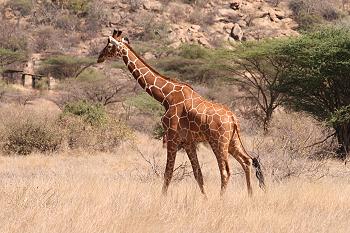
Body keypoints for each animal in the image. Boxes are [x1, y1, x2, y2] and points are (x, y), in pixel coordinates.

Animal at [97, 29, 264, 197]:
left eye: (109, 45)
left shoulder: (172, 137)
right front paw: (205, 198)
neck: (166, 96)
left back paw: (221, 198)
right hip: (232, 140)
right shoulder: (188, 142)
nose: (99, 57)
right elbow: (198, 174)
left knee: (225, 171)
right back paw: (250, 196)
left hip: (218, 141)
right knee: (247, 161)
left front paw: (162, 198)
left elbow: (168, 173)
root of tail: (233, 118)